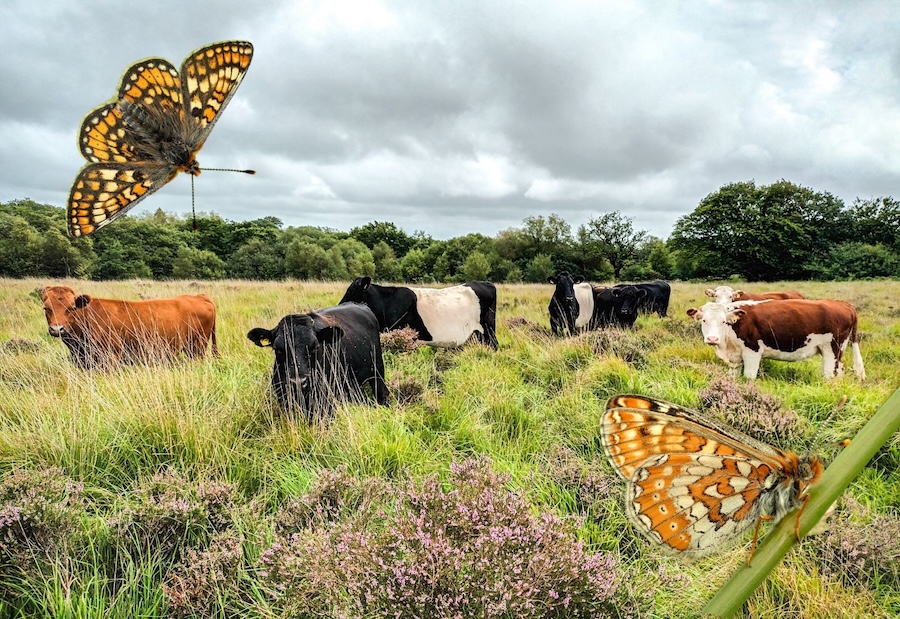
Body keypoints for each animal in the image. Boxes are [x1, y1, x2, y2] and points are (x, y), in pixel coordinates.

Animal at [41, 285, 217, 368]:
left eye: (71, 308)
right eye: (46, 308)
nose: (57, 329)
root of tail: (199, 297)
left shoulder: (111, 357)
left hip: (197, 348)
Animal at [686, 300, 865, 380]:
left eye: (724, 321)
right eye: (704, 320)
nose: (712, 338)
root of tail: (843, 304)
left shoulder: (752, 351)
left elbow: (749, 376)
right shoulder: (735, 357)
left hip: (831, 350)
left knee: (829, 374)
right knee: (839, 371)